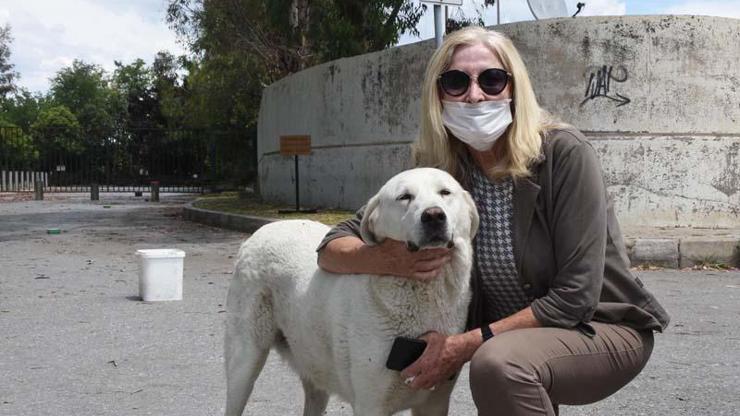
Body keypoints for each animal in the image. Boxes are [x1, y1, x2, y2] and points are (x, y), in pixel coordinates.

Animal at [225, 168, 480, 416]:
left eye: (445, 192)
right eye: (404, 197)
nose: (434, 215)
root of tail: (264, 229)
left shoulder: (435, 401)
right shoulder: (371, 404)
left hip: (313, 362)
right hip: (245, 361)